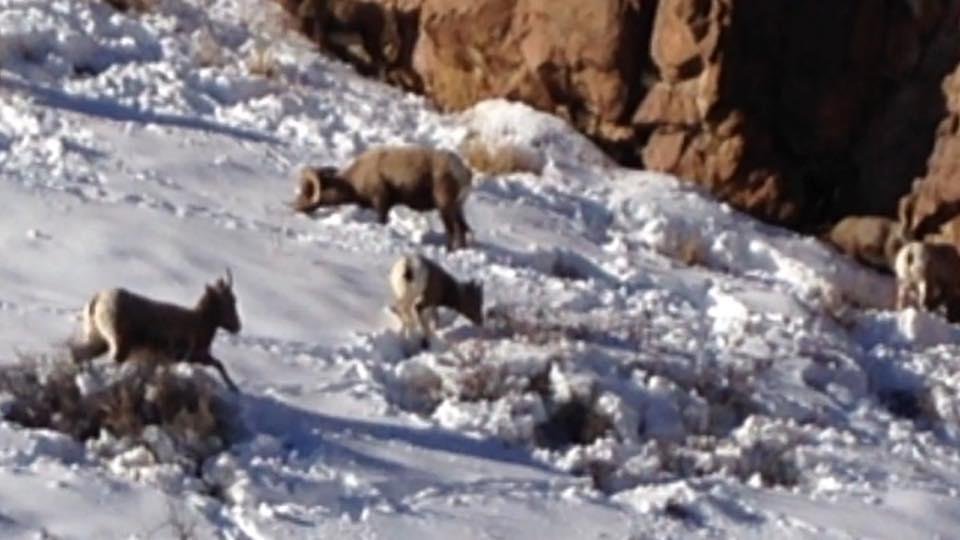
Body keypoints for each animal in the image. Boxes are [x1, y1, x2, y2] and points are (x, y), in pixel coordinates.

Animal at [69, 270, 242, 392]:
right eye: (231, 300)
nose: (237, 326)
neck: (201, 321)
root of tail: (96, 301)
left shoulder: (156, 361)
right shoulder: (196, 356)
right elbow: (219, 364)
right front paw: (234, 388)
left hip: (99, 339)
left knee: (80, 353)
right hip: (119, 344)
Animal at [291, 145, 474, 251]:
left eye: (308, 191)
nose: (296, 207)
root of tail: (463, 172)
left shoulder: (381, 203)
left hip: (445, 208)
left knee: (452, 231)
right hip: (457, 208)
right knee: (462, 229)